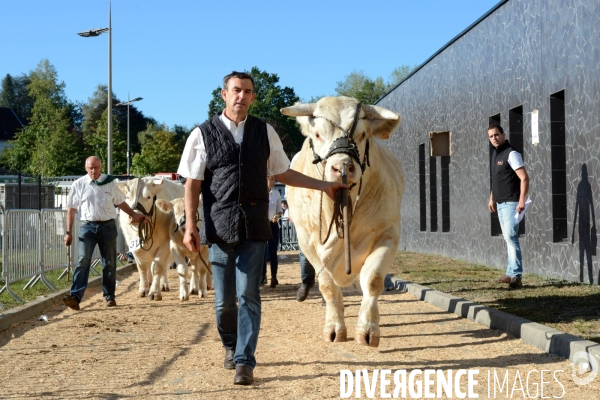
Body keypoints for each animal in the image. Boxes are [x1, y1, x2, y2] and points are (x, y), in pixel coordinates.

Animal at [282, 96, 404, 346]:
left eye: (363, 134)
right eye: (317, 134)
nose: (342, 167)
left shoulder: (388, 233)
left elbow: (373, 279)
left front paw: (367, 329)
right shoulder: (307, 241)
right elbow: (327, 286)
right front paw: (334, 328)